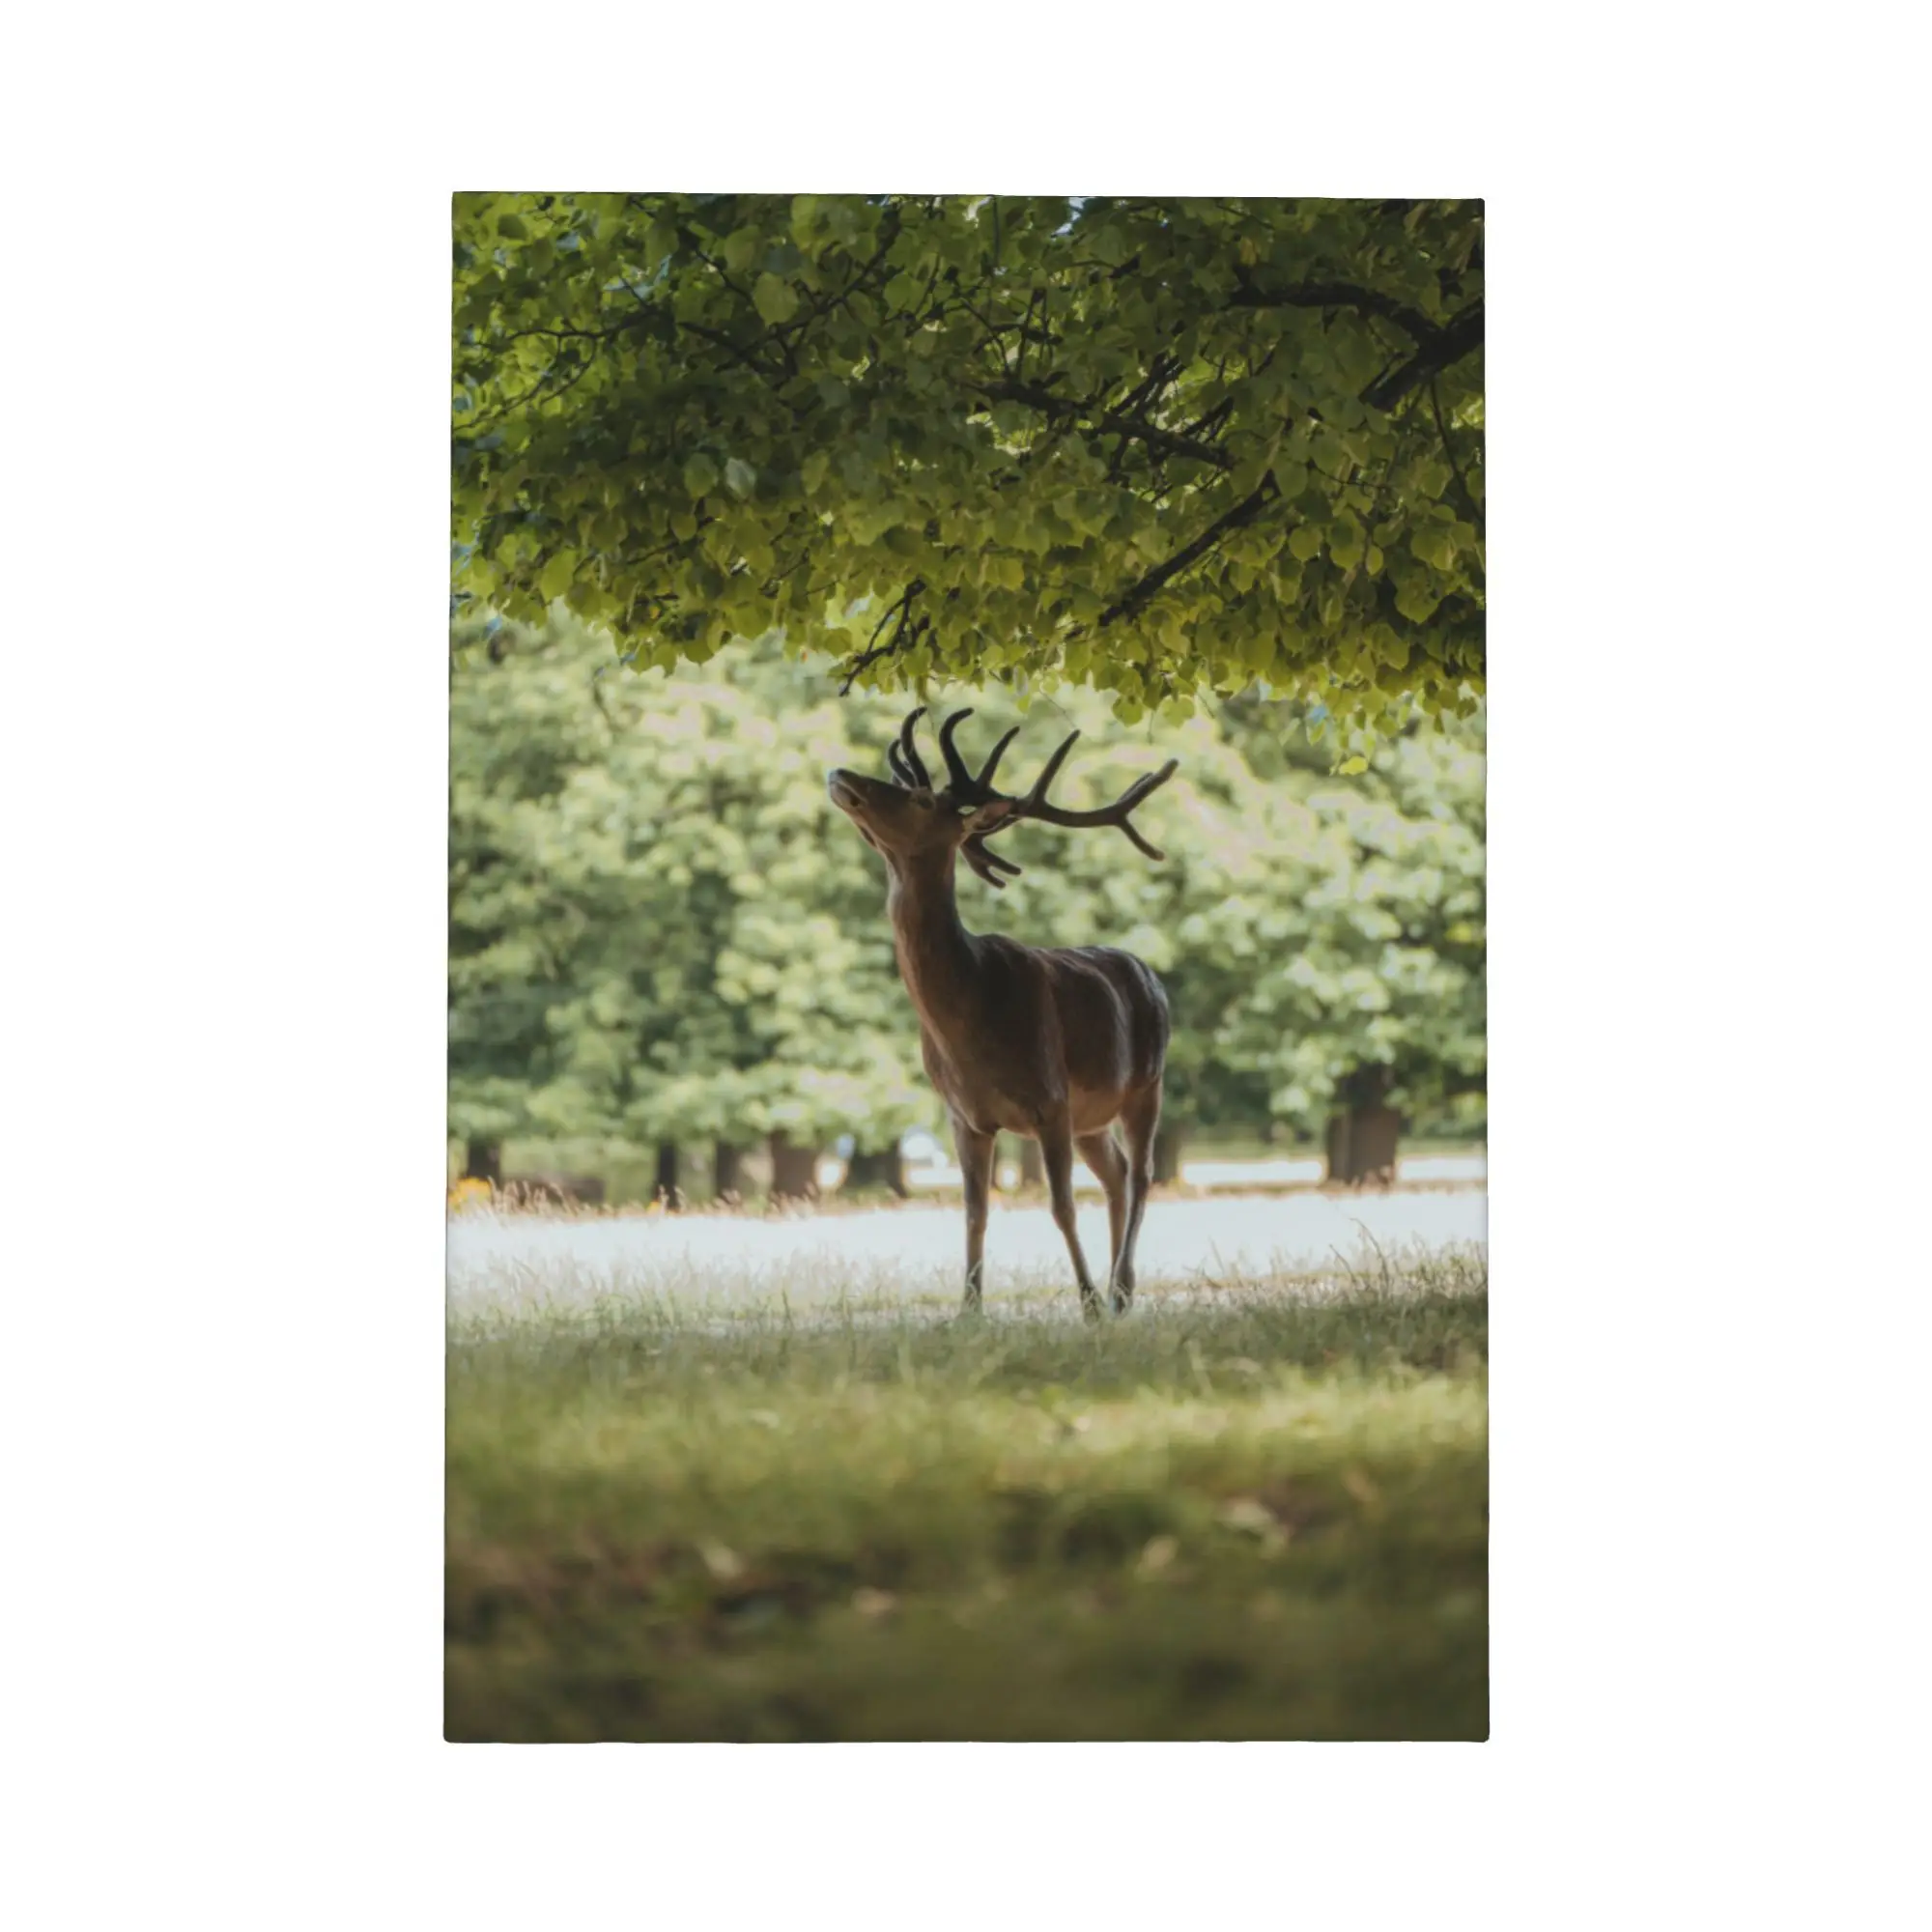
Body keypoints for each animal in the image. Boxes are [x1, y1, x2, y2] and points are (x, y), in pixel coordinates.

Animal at [826, 707, 1178, 1319]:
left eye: (922, 800)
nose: (843, 774)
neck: (971, 1020)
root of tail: (1149, 973)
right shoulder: (963, 1115)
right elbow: (975, 1212)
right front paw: (967, 1310)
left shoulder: (1050, 1098)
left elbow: (1061, 1206)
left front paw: (1086, 1303)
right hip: (1092, 1117)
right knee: (1115, 1175)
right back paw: (1118, 1288)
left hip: (1146, 1084)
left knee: (1141, 1175)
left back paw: (1119, 1291)